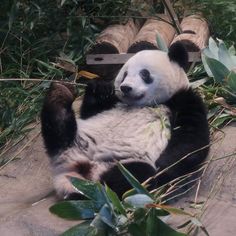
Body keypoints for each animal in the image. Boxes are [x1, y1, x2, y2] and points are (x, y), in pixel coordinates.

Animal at [41, 42, 209, 199]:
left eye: (144, 73)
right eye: (125, 74)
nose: (125, 87)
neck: (146, 104)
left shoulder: (184, 100)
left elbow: (191, 140)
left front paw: (164, 166)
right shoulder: (111, 103)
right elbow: (90, 111)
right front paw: (100, 88)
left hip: (123, 162)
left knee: (133, 177)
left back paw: (98, 189)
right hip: (79, 140)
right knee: (60, 133)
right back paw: (59, 94)